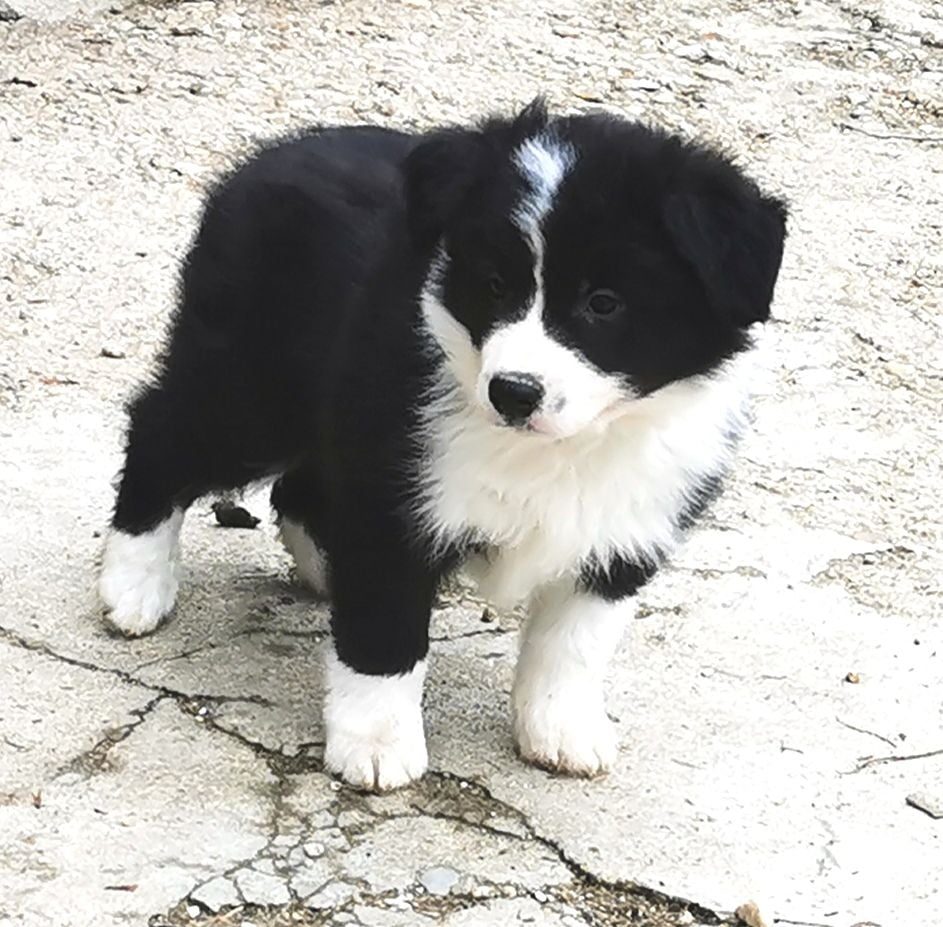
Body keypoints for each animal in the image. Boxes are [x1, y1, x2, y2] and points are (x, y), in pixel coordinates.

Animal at [99, 105, 784, 792]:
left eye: (604, 303)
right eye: (494, 285)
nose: (513, 392)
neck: (560, 448)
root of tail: (268, 157)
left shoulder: (625, 525)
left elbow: (573, 641)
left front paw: (561, 730)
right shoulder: (396, 492)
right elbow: (385, 630)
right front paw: (376, 744)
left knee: (301, 485)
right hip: (255, 388)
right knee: (162, 433)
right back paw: (134, 588)